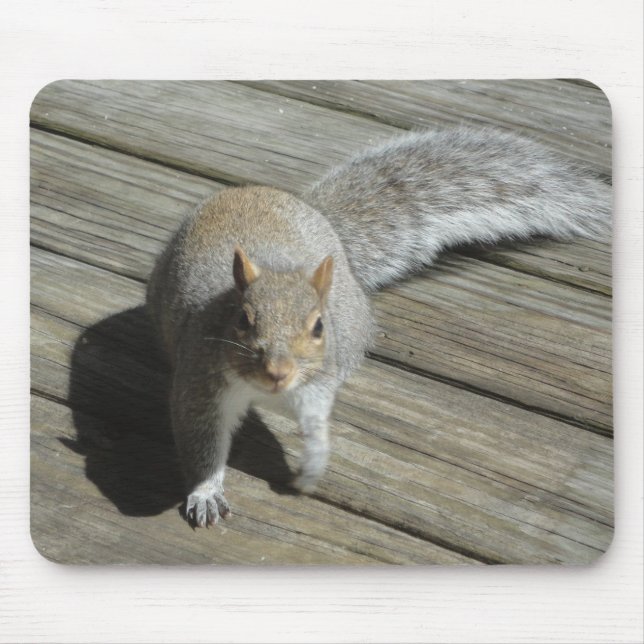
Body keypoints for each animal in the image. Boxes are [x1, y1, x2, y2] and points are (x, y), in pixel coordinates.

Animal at [146, 126, 610, 527]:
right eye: (242, 320)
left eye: (318, 327)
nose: (278, 373)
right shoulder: (200, 385)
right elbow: (200, 443)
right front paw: (206, 492)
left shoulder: (316, 384)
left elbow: (316, 421)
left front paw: (313, 463)